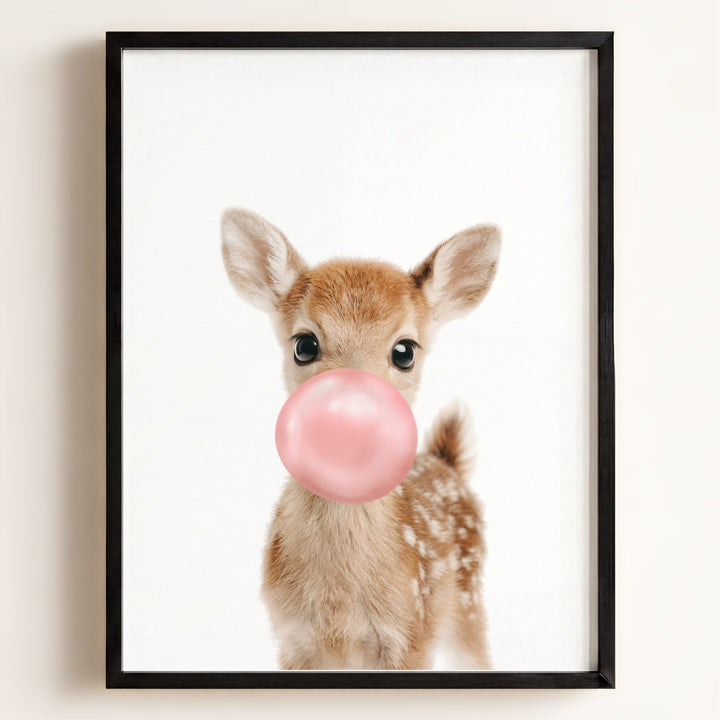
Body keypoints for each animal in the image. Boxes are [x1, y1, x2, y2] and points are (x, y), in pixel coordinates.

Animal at [221, 208, 501, 670]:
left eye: (405, 351)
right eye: (304, 344)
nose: (351, 411)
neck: (339, 607)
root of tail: (447, 461)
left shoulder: (411, 635)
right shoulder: (292, 640)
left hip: (468, 603)